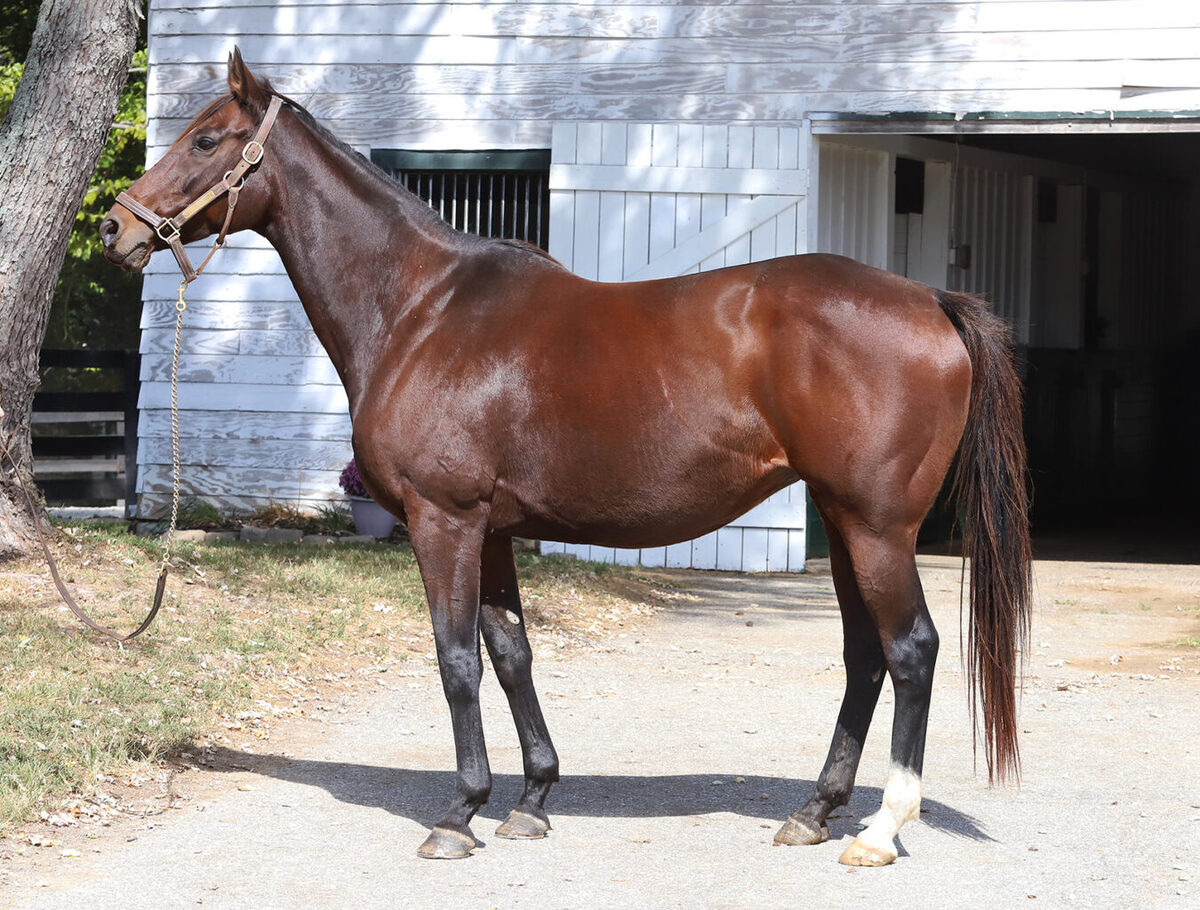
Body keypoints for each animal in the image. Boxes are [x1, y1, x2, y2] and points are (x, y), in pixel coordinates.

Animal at [101, 50, 1031, 866]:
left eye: (207, 140)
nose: (115, 227)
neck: (421, 310)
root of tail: (929, 300)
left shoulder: (444, 521)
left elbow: (457, 661)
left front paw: (459, 814)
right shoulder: (492, 529)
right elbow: (512, 655)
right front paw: (532, 800)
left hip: (877, 527)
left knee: (910, 649)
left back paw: (880, 829)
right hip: (842, 523)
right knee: (865, 655)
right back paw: (814, 812)